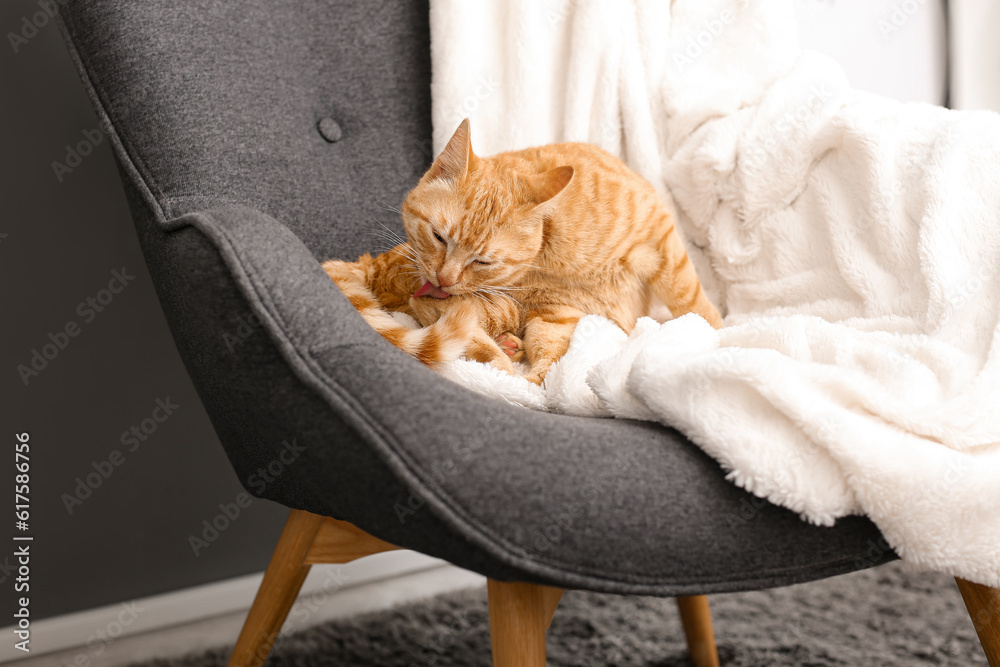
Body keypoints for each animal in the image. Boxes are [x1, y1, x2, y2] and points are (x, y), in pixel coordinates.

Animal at [324, 117, 724, 384]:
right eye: (439, 236)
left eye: (483, 260)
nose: (443, 277)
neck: (551, 250)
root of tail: (371, 265)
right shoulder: (555, 312)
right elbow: (542, 379)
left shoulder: (656, 237)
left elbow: (688, 296)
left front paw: (718, 333)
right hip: (487, 305)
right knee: (443, 318)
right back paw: (502, 353)